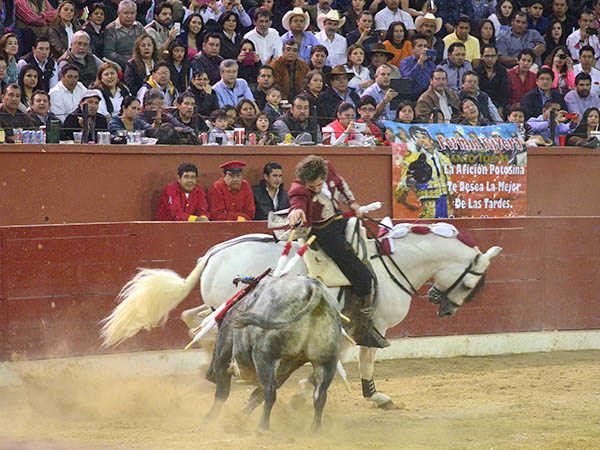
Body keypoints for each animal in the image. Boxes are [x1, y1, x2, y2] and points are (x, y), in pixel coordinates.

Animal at [102, 223, 502, 410]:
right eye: (470, 283)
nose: (446, 308)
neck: (393, 263)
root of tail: (215, 251)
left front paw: (304, 389)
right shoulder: (372, 326)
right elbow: (365, 359)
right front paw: (375, 397)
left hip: (218, 303)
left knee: (193, 318)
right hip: (230, 306)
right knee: (207, 328)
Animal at [204, 276, 340, 430]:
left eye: (216, 337)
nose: (209, 375)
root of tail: (313, 288)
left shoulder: (223, 356)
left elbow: (223, 392)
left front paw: (210, 418)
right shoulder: (283, 372)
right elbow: (256, 397)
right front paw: (239, 419)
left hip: (265, 357)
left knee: (270, 391)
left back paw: (261, 428)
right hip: (326, 362)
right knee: (320, 396)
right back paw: (315, 429)